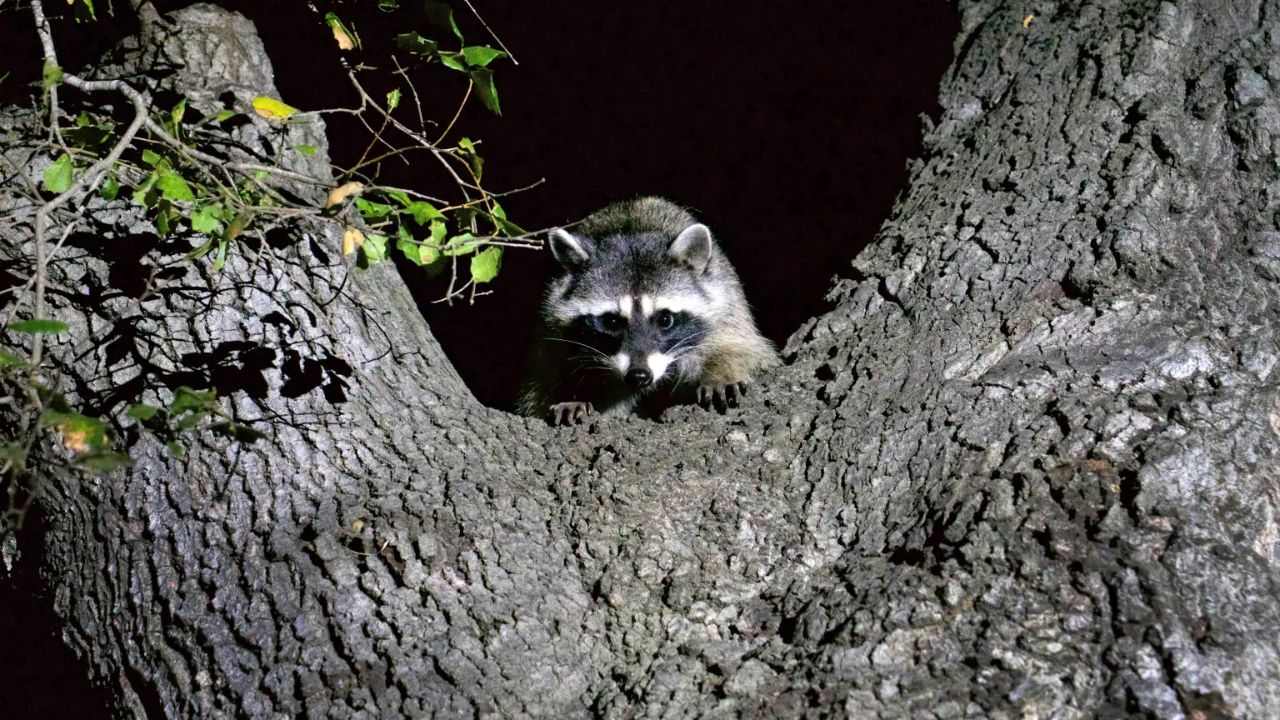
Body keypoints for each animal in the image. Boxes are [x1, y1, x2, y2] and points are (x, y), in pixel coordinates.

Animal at [519, 197, 777, 425]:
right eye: (612, 322)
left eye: (664, 319)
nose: (639, 375)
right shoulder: (554, 325)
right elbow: (550, 375)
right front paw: (572, 394)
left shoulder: (725, 301)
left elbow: (740, 347)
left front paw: (722, 374)